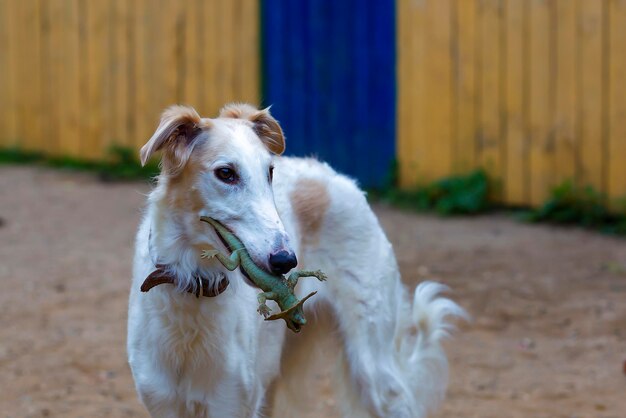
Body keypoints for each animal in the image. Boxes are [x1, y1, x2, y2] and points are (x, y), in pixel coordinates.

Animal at [127, 102, 460, 418]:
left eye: (270, 172)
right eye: (225, 173)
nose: (286, 261)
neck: (193, 289)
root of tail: (338, 176)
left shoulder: (232, 403)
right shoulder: (164, 402)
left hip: (374, 367)